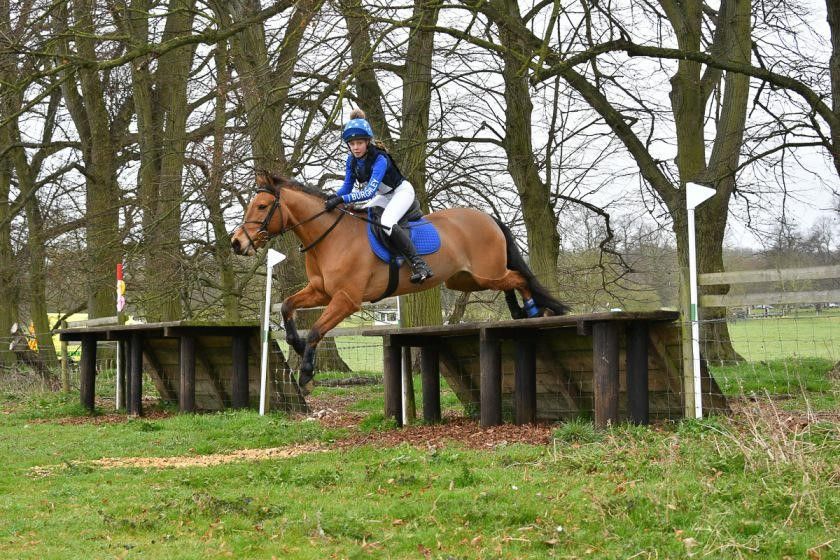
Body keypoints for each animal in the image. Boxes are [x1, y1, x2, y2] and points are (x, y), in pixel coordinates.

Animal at [233, 173, 568, 392]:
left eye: (261, 206)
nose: (237, 243)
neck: (330, 237)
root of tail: (489, 218)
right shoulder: (321, 292)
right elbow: (287, 307)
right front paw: (298, 346)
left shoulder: (346, 299)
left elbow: (316, 329)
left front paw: (305, 374)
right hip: (466, 280)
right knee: (512, 281)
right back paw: (526, 313)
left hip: (486, 273)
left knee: (519, 278)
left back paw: (537, 312)